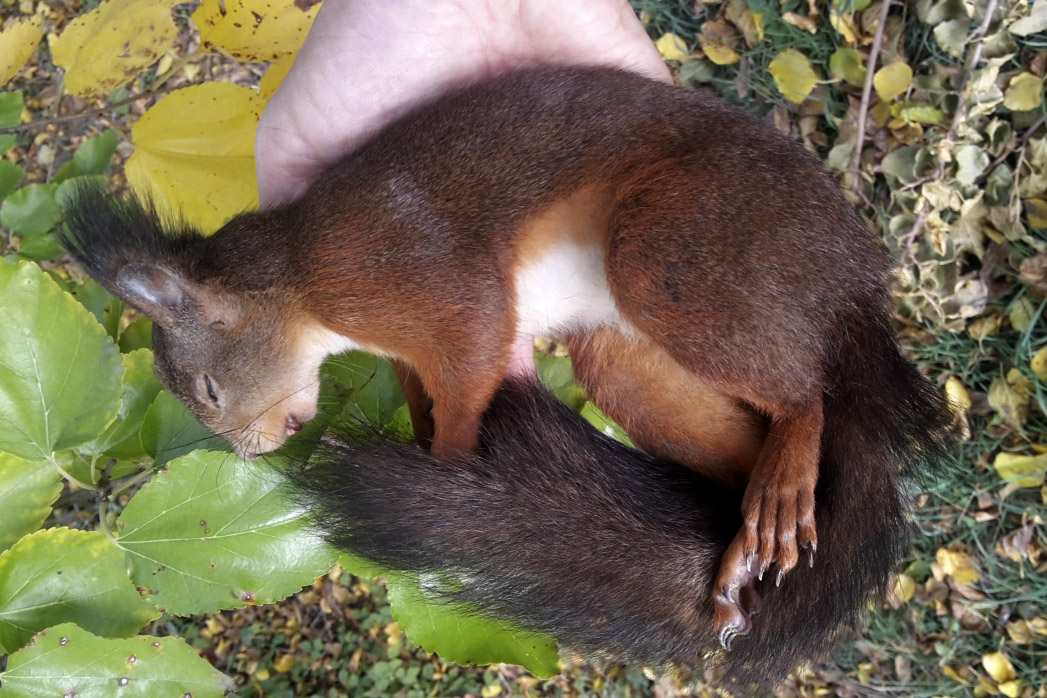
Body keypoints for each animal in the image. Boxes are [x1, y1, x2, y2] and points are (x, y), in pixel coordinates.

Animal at [59, 67, 951, 690]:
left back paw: (786, 470)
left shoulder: (405, 282)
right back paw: (739, 549)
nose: (247, 451)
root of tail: (846, 277)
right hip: (628, 362)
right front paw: (429, 440)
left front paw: (452, 473)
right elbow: (420, 389)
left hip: (682, 241)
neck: (299, 288)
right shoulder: (406, 351)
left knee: (806, 393)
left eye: (209, 392)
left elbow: (471, 355)